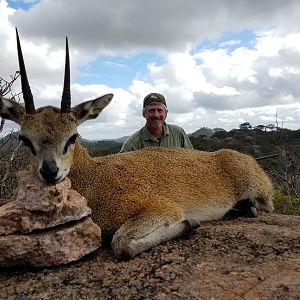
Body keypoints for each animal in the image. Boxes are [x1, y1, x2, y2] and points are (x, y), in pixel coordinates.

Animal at [0, 31, 274, 260]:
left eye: (73, 136)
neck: (94, 177)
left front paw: (190, 223)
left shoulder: (159, 208)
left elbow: (121, 243)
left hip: (259, 191)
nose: (49, 171)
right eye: (24, 138)